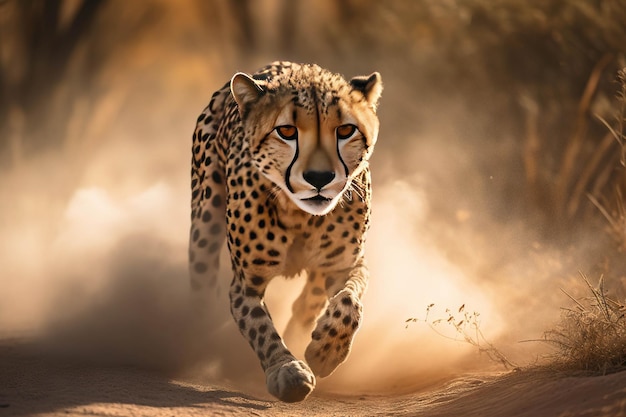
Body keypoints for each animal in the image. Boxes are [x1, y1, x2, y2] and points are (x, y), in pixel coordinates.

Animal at [186, 61, 380, 400]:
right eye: (286, 132)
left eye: (345, 130)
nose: (319, 177)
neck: (302, 216)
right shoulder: (246, 284)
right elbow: (259, 326)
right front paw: (286, 370)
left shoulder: (347, 264)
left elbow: (349, 302)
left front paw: (326, 351)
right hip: (204, 220)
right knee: (201, 282)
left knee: (310, 299)